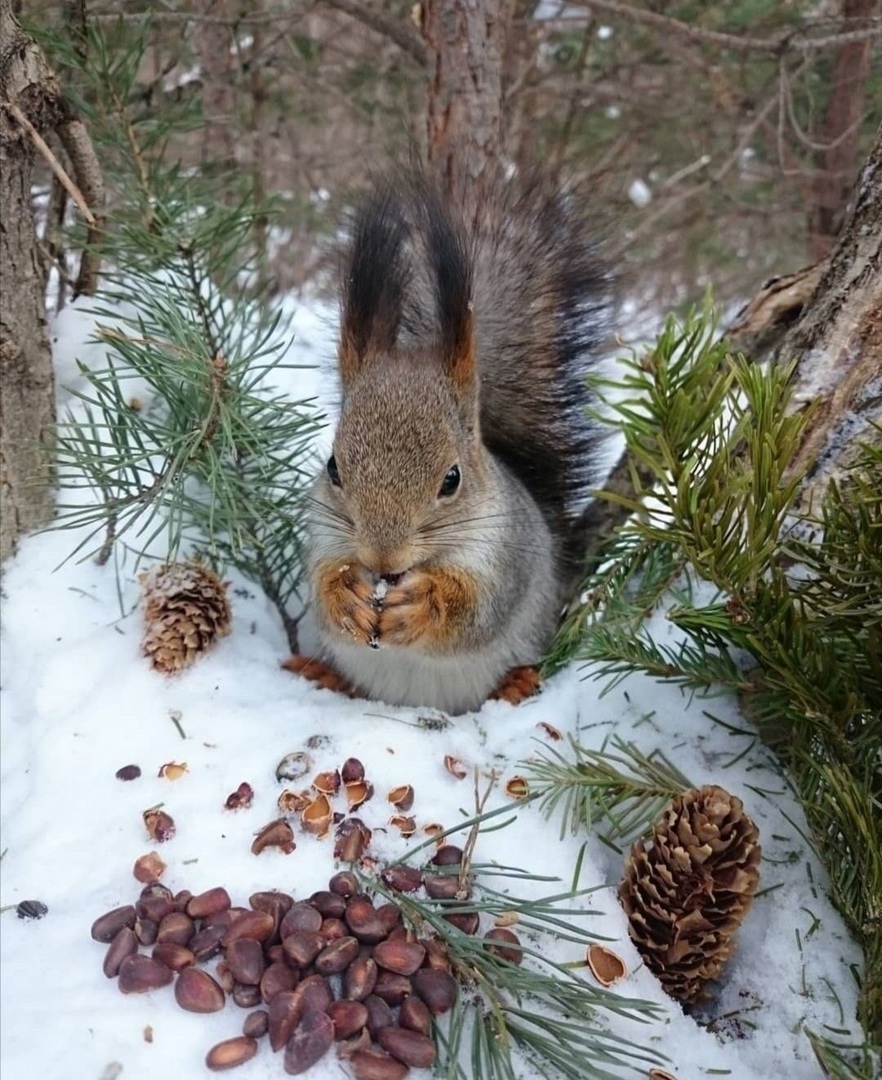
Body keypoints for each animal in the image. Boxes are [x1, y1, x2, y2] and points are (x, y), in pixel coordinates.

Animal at [285, 170, 608, 717]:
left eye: (452, 479)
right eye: (333, 468)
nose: (382, 559)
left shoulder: (505, 561)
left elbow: (474, 613)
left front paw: (423, 605)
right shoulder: (323, 534)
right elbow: (322, 586)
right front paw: (345, 594)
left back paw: (516, 683)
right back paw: (323, 674)